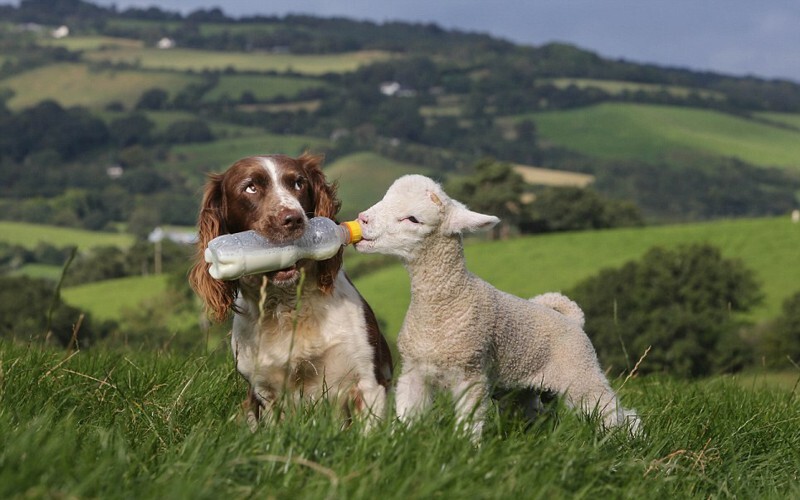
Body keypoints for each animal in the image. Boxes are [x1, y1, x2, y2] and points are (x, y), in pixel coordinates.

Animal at [191, 153, 396, 430]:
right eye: (250, 187)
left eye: (299, 183)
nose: (293, 219)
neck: (288, 307)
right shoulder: (265, 392)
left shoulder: (368, 382)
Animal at [354, 175, 640, 438]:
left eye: (413, 219)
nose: (362, 219)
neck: (445, 305)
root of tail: (572, 319)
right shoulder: (414, 372)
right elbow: (406, 415)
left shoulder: (471, 373)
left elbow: (468, 424)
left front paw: (466, 450)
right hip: (521, 389)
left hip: (580, 372)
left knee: (613, 412)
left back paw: (627, 439)